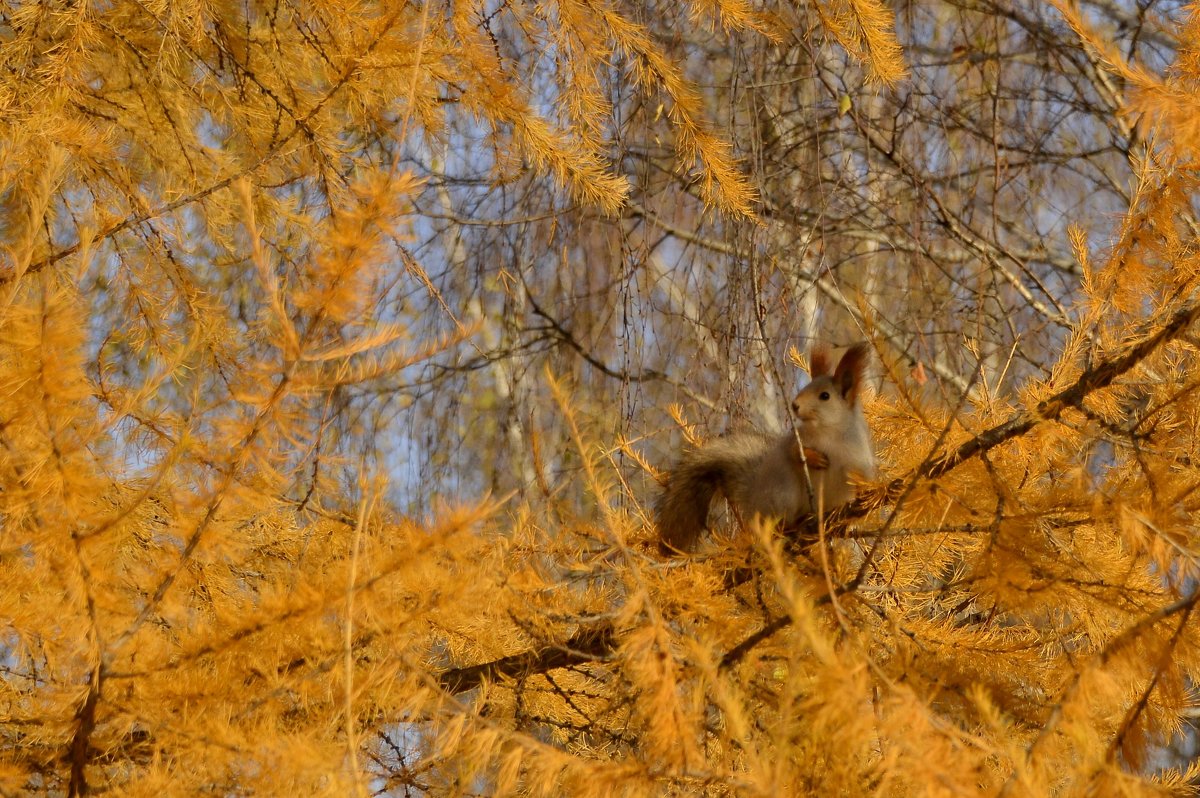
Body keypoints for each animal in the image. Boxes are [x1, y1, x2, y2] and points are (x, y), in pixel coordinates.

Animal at [657, 343, 873, 554]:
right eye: (806, 387)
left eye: (825, 396)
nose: (795, 405)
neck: (828, 431)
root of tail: (753, 498)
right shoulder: (795, 440)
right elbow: (793, 452)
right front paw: (813, 457)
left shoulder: (858, 456)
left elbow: (862, 477)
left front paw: (864, 498)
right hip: (783, 492)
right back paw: (790, 526)